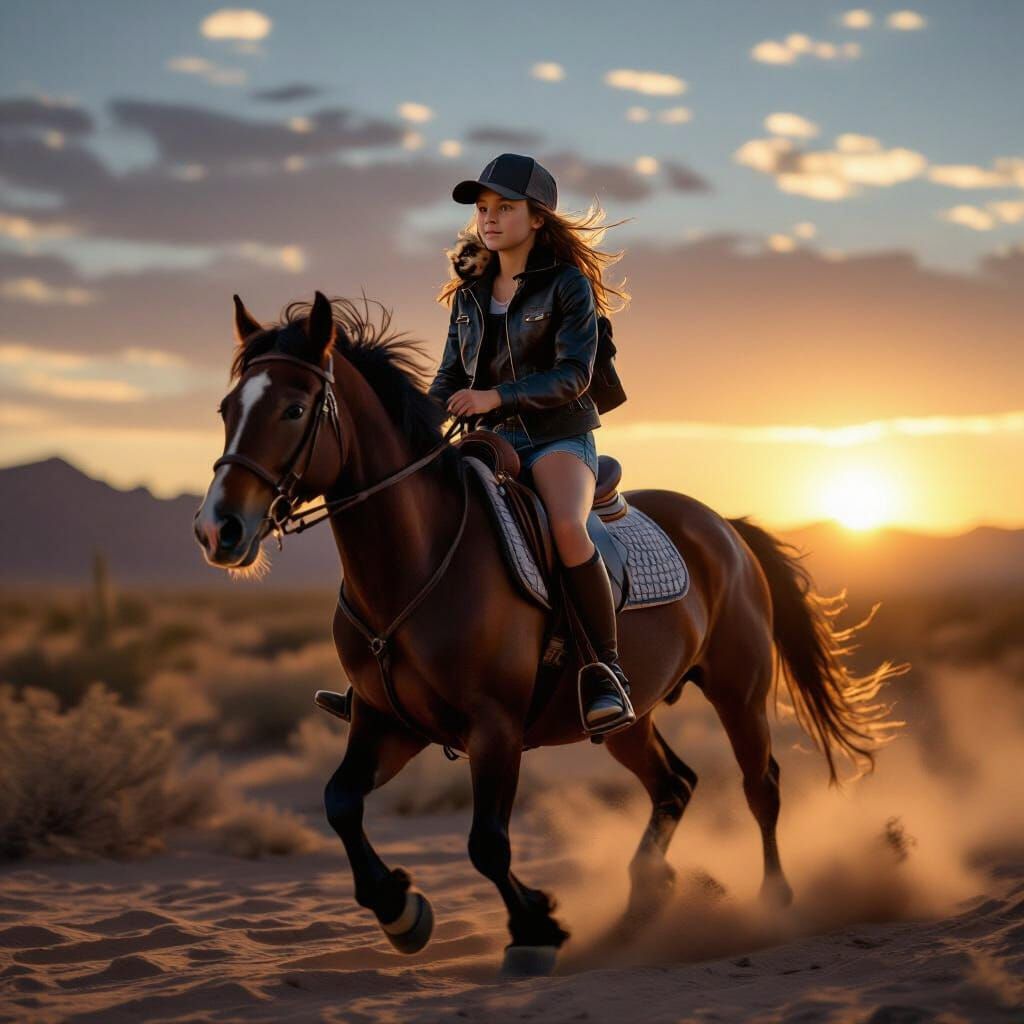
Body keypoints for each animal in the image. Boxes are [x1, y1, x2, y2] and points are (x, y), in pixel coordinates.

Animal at [193, 289, 910, 976]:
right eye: (227, 408)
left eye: (293, 409)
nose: (217, 530)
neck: (417, 564)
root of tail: (725, 527)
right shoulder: (388, 721)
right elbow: (339, 802)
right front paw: (401, 910)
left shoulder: (495, 726)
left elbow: (487, 842)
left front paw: (534, 929)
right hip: (626, 719)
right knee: (674, 785)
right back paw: (640, 909)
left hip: (739, 691)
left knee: (761, 787)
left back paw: (772, 903)